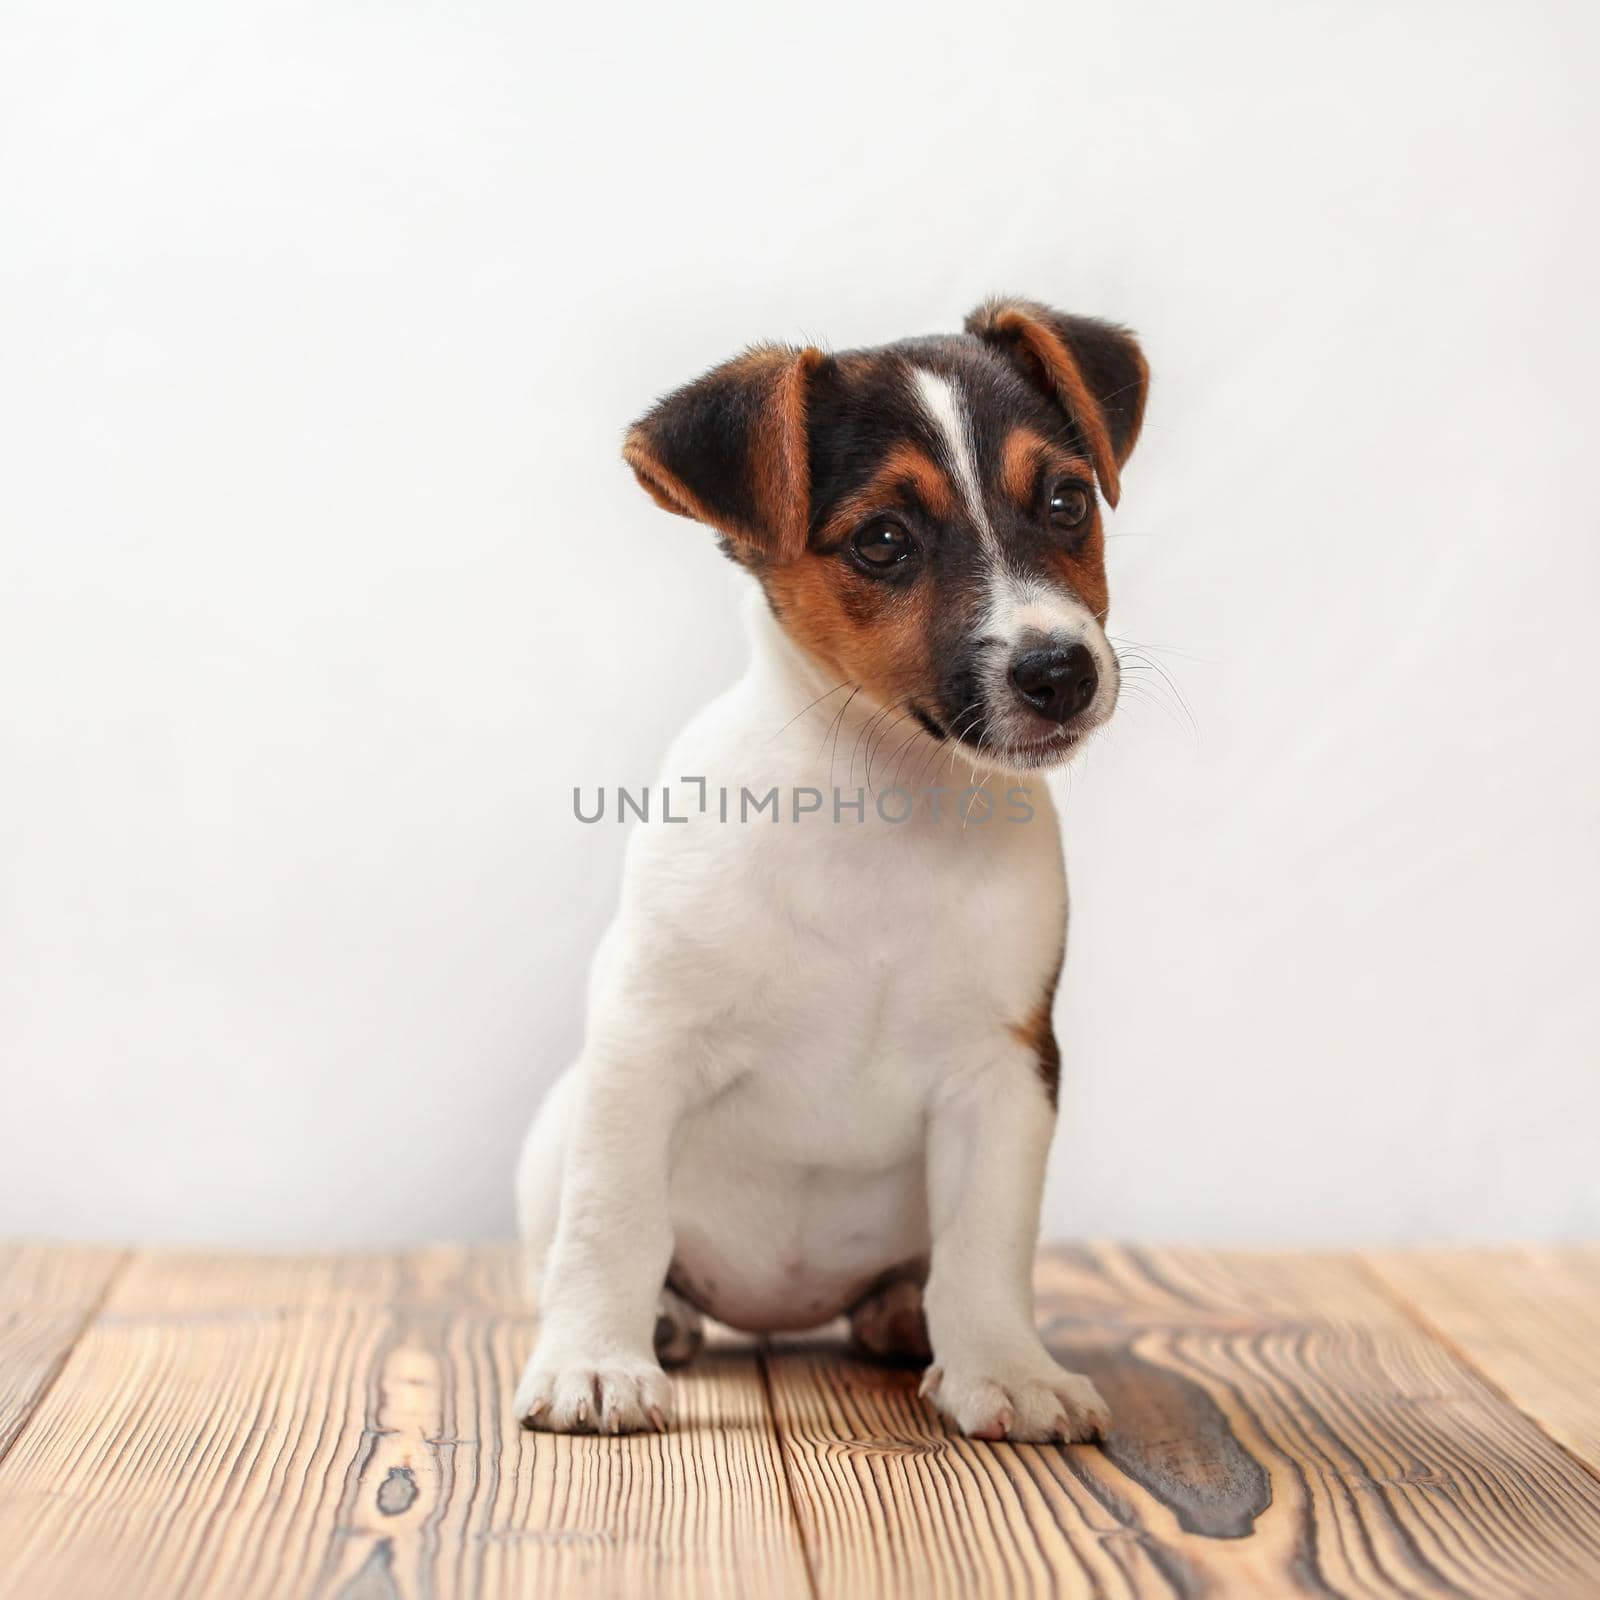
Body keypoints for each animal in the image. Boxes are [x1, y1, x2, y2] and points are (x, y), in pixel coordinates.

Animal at [518, 294, 1145, 1446]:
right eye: (882, 540)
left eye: (1067, 500)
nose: (1060, 672)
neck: (883, 809)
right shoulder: (643, 1044)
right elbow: (612, 1220)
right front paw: (593, 1362)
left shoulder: (1005, 1073)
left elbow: (987, 1245)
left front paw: (1004, 1367)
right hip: (557, 1128)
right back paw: (656, 1321)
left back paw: (904, 1311)